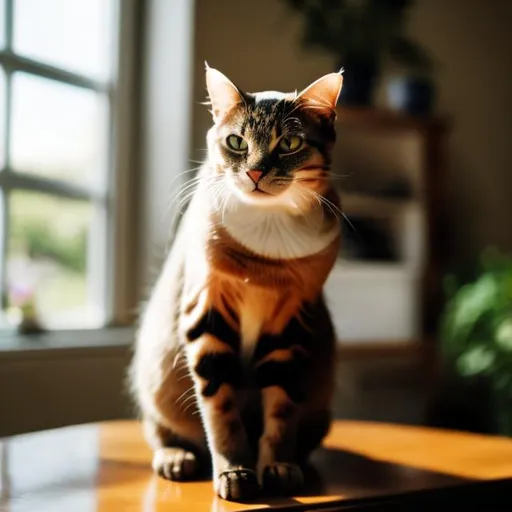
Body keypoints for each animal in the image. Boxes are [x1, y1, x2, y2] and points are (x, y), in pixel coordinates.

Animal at [128, 63, 344, 500]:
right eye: (236, 141)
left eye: (290, 142)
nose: (256, 171)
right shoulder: (206, 310)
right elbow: (220, 409)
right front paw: (233, 471)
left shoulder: (291, 321)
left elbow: (281, 409)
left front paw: (277, 466)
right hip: (154, 376)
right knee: (160, 428)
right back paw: (176, 457)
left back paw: (300, 462)